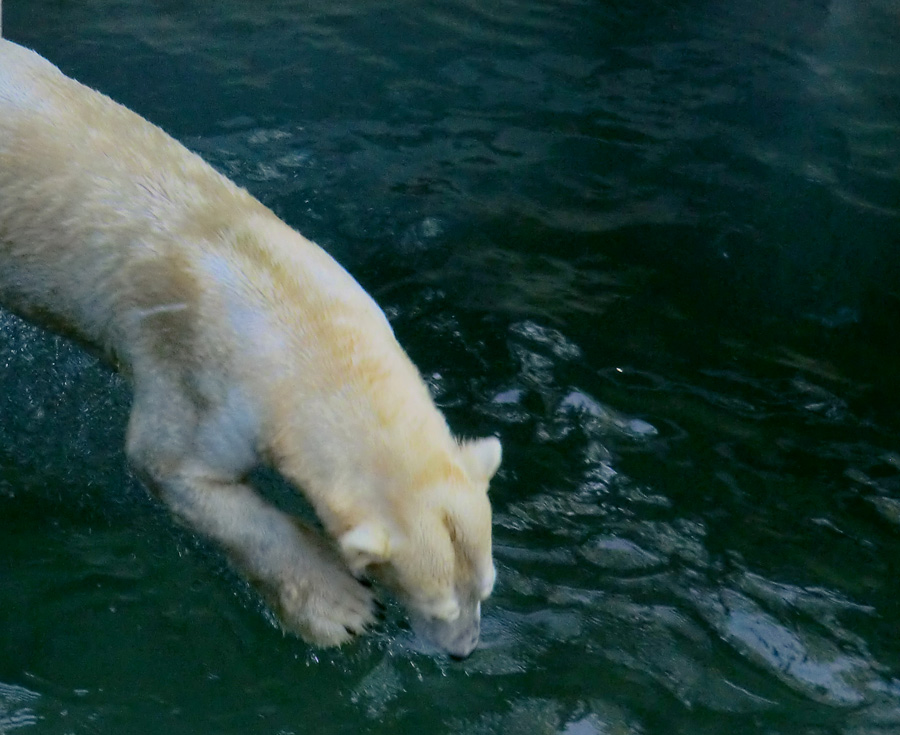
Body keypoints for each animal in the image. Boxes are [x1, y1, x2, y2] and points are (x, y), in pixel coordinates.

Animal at [0, 31, 500, 660]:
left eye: (486, 588)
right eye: (434, 604)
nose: (464, 650)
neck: (292, 319)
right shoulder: (196, 377)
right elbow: (172, 468)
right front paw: (342, 610)